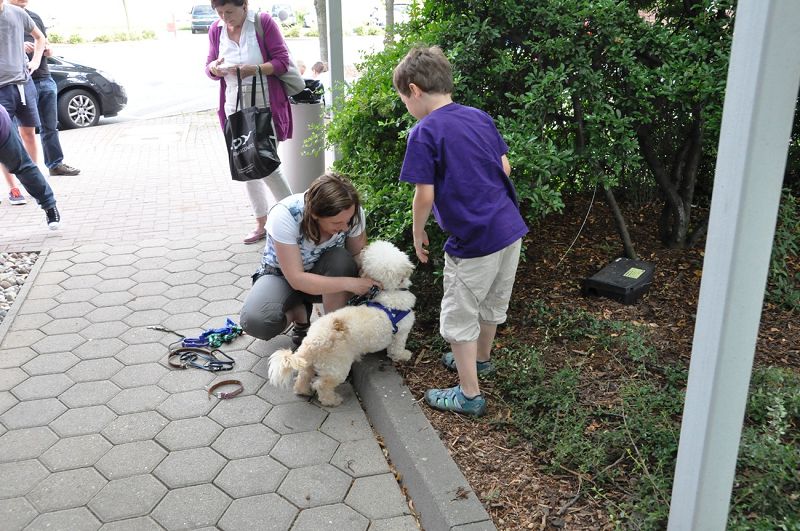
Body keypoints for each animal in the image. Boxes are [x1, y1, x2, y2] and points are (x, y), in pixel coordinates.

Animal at [270, 241, 418, 408]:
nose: (364, 248)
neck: (389, 292)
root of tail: (312, 341)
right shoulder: (401, 333)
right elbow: (397, 349)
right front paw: (404, 355)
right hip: (337, 367)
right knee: (322, 384)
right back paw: (332, 400)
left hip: (310, 364)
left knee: (304, 375)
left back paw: (303, 391)